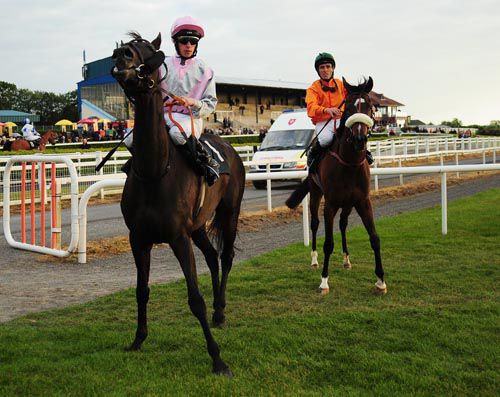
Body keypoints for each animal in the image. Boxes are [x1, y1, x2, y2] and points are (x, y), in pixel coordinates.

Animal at [113, 32, 246, 376]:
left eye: (149, 49)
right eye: (124, 48)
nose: (121, 56)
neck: (155, 172)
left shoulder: (177, 237)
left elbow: (194, 298)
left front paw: (217, 359)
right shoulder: (139, 238)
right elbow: (141, 291)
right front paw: (138, 340)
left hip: (229, 211)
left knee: (225, 256)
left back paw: (221, 311)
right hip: (197, 226)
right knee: (212, 256)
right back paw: (216, 311)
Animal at [286, 77, 386, 294]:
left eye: (370, 106)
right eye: (347, 107)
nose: (359, 139)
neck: (349, 163)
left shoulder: (363, 201)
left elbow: (375, 238)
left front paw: (381, 281)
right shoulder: (330, 204)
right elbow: (328, 243)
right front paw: (324, 281)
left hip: (348, 203)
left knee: (343, 223)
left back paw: (346, 259)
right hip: (316, 193)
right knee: (315, 223)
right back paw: (314, 260)